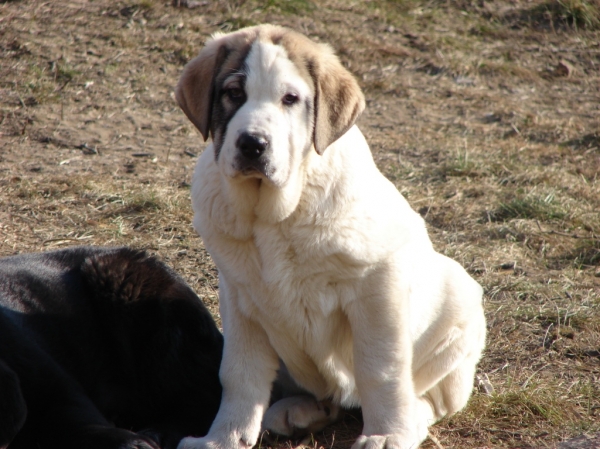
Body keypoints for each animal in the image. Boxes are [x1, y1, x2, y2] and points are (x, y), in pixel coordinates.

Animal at [176, 23, 486, 448]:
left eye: (290, 99)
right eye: (234, 93)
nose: (253, 144)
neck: (274, 216)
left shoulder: (377, 286)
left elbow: (381, 369)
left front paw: (387, 434)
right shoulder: (238, 296)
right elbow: (239, 373)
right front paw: (224, 438)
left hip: (457, 305)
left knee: (429, 397)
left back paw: (410, 419)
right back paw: (301, 411)